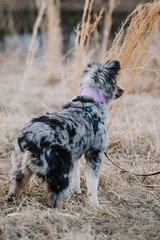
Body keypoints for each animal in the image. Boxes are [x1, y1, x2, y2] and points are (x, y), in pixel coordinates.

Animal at [7, 59, 124, 207]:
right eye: (115, 82)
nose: (122, 90)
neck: (89, 100)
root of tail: (28, 139)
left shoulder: (75, 154)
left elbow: (77, 176)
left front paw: (77, 191)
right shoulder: (95, 154)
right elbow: (92, 184)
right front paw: (95, 205)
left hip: (20, 169)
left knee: (13, 190)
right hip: (61, 172)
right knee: (54, 198)